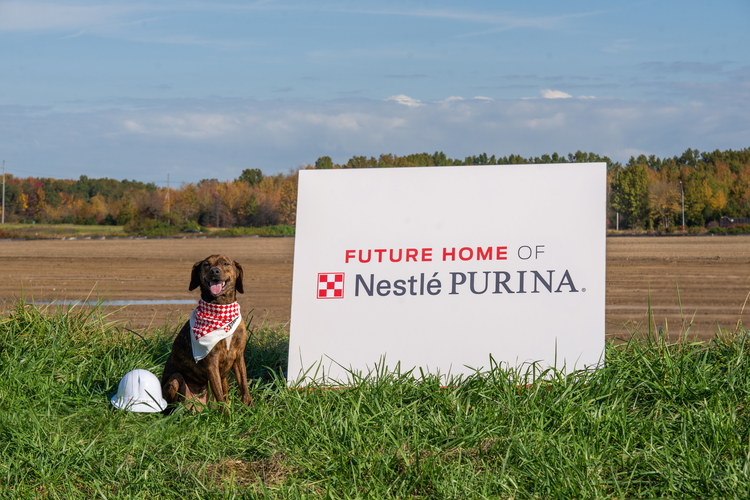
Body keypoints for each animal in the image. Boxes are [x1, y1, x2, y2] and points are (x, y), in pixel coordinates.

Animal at [162, 256, 253, 412]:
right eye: (206, 264)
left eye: (226, 263)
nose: (214, 271)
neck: (220, 308)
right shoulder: (212, 362)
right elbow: (221, 397)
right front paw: (227, 417)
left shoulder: (238, 356)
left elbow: (244, 388)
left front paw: (250, 410)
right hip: (175, 379)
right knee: (172, 406)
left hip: (223, 379)